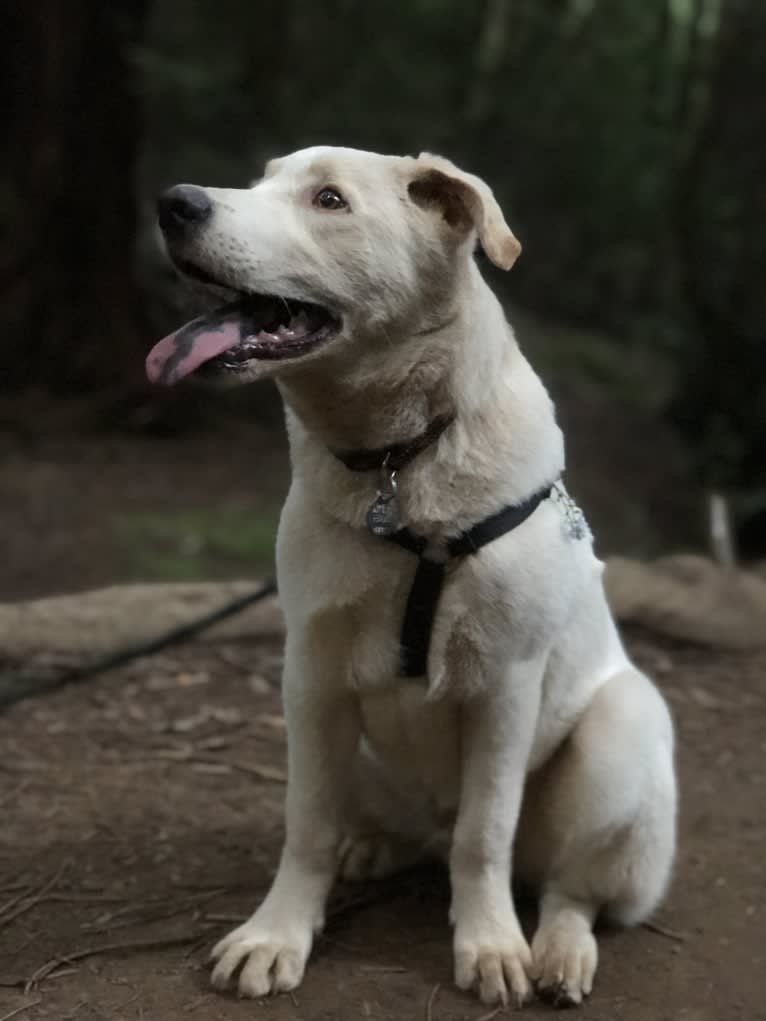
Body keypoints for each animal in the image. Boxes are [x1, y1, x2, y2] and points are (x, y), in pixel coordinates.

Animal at [145, 148, 678, 1008]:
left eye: (329, 199)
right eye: (260, 181)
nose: (174, 203)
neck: (400, 463)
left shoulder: (506, 686)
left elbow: (484, 834)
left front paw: (492, 944)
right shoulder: (311, 676)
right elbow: (308, 822)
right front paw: (278, 933)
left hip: (621, 730)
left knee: (569, 886)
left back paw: (559, 951)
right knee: (385, 831)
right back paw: (370, 850)